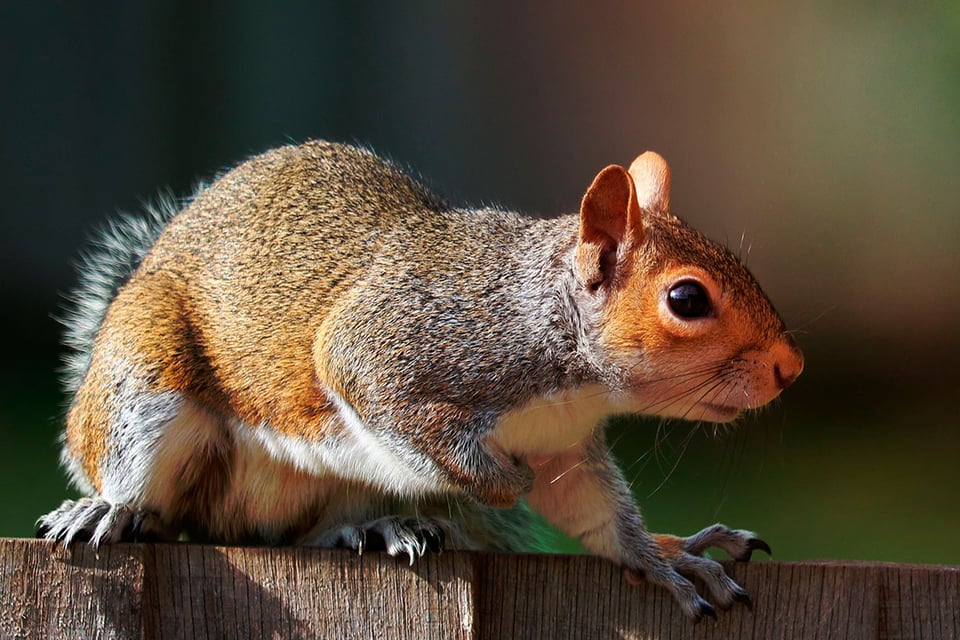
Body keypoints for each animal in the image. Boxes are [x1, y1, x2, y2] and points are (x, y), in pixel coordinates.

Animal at [38, 140, 803, 621]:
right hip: (145, 380)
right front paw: (499, 481)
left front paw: (666, 557)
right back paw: (108, 509)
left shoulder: (562, 445)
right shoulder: (390, 348)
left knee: (298, 538)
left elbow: (594, 513)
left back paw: (374, 528)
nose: (790, 368)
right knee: (147, 490)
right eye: (686, 299)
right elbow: (396, 411)